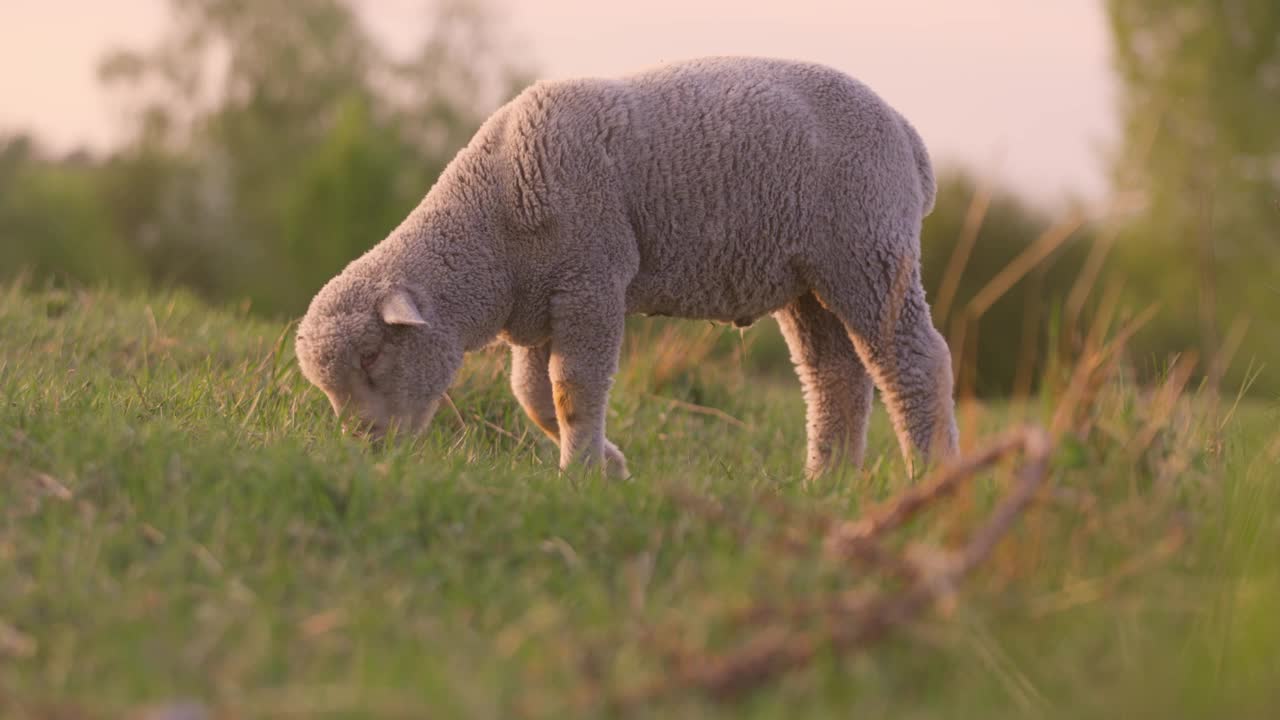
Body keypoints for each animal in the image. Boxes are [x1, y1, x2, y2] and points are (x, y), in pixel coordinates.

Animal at [296, 57, 962, 476]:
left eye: (372, 357)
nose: (365, 446)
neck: (490, 225)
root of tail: (910, 138)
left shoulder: (590, 278)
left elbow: (573, 389)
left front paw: (581, 473)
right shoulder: (542, 303)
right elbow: (531, 394)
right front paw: (609, 464)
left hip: (868, 248)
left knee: (916, 362)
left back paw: (930, 474)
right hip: (808, 281)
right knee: (834, 380)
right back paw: (826, 484)